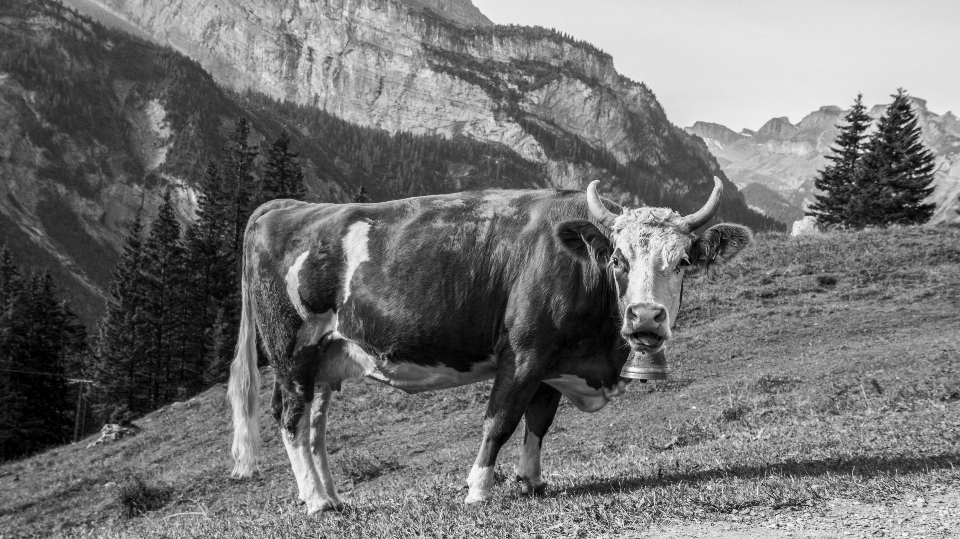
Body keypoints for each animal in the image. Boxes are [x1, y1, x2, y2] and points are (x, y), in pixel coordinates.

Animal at [229, 178, 752, 516]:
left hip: (327, 358)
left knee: (314, 425)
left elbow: (538, 422)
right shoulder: (523, 352)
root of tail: (288, 207)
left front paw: (532, 482)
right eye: (619, 260)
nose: (645, 316)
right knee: (291, 418)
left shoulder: (553, 362)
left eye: (683, 261)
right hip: (292, 349)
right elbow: (500, 420)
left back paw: (331, 498)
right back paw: (317, 502)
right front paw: (478, 489)